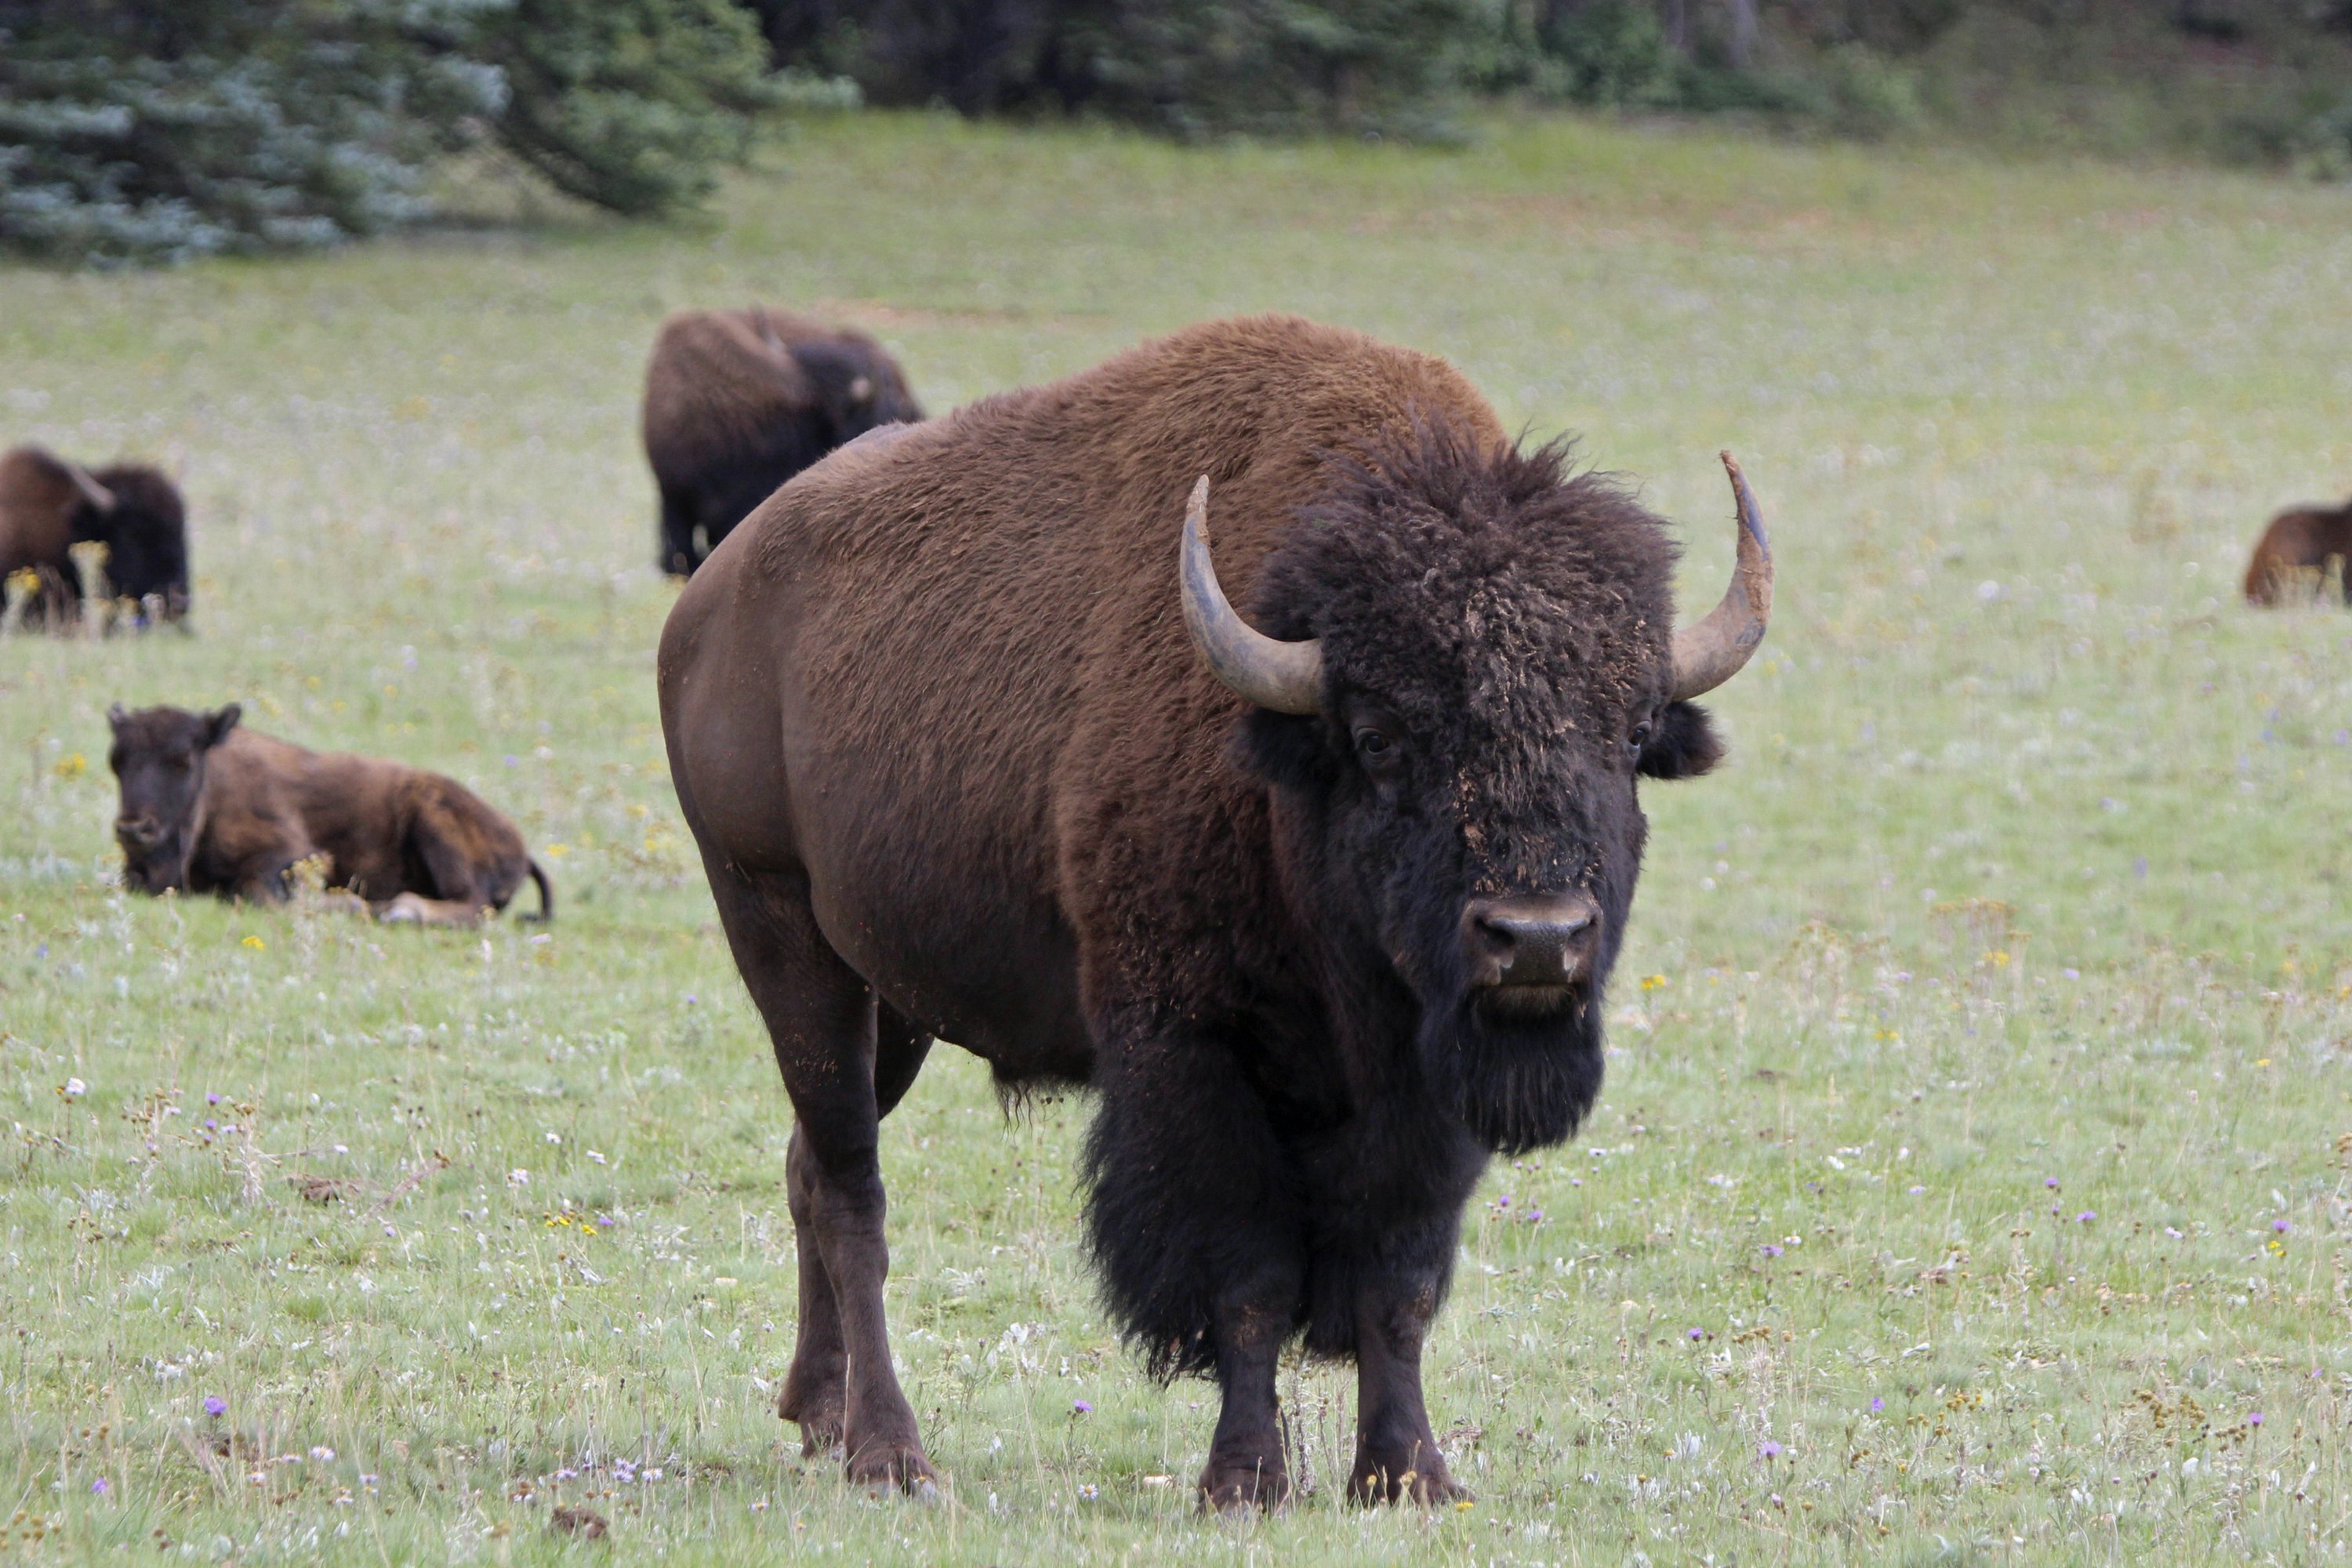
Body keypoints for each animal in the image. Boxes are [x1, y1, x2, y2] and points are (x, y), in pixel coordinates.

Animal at [111, 705, 555, 926]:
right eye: (116, 761)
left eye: (182, 760)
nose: (134, 829)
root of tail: (520, 845)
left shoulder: (293, 855)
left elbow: (257, 892)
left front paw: (349, 906)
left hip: (434, 818)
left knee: (474, 906)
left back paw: (400, 910)